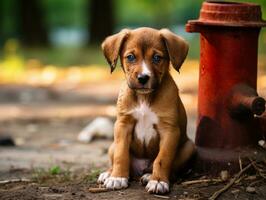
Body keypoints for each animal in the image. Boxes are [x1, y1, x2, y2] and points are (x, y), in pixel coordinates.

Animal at [97, 27, 195, 194]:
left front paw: (158, 181)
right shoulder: (123, 125)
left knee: (170, 168)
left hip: (189, 147)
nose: (143, 78)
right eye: (130, 57)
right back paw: (109, 173)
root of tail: (141, 169)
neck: (144, 98)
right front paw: (117, 177)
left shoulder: (169, 130)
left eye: (157, 57)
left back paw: (150, 176)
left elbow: (163, 158)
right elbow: (121, 155)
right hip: (112, 145)